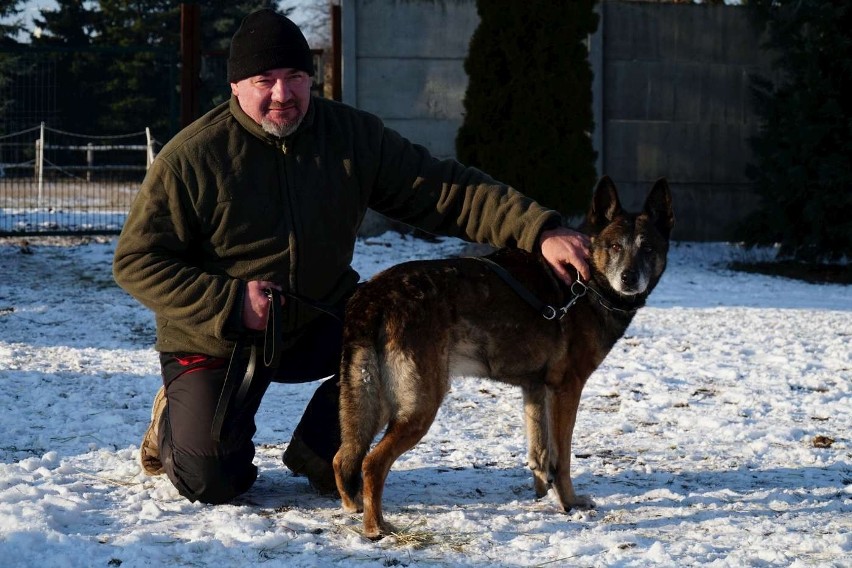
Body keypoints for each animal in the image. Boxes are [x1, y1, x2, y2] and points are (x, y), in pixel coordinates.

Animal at [332, 176, 672, 536]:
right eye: (615, 247)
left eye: (648, 248)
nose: (629, 278)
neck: (586, 282)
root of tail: (375, 294)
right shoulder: (566, 391)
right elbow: (562, 458)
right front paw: (569, 503)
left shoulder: (536, 390)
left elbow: (540, 452)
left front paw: (543, 493)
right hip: (418, 407)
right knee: (372, 462)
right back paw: (377, 527)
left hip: (376, 402)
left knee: (344, 458)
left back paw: (354, 507)